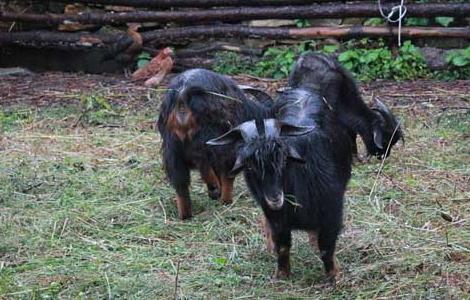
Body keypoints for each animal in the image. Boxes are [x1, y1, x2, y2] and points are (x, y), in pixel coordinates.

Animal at [157, 68, 270, 219]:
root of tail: (182, 94)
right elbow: (225, 173)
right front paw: (222, 196)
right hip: (210, 138)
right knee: (207, 162)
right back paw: (220, 194)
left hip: (172, 147)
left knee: (180, 182)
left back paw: (186, 215)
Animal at [207, 87, 350, 282]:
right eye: (250, 165)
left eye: (283, 158)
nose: (274, 198)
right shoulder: (275, 217)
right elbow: (283, 245)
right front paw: (282, 275)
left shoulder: (332, 212)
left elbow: (326, 247)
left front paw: (333, 277)